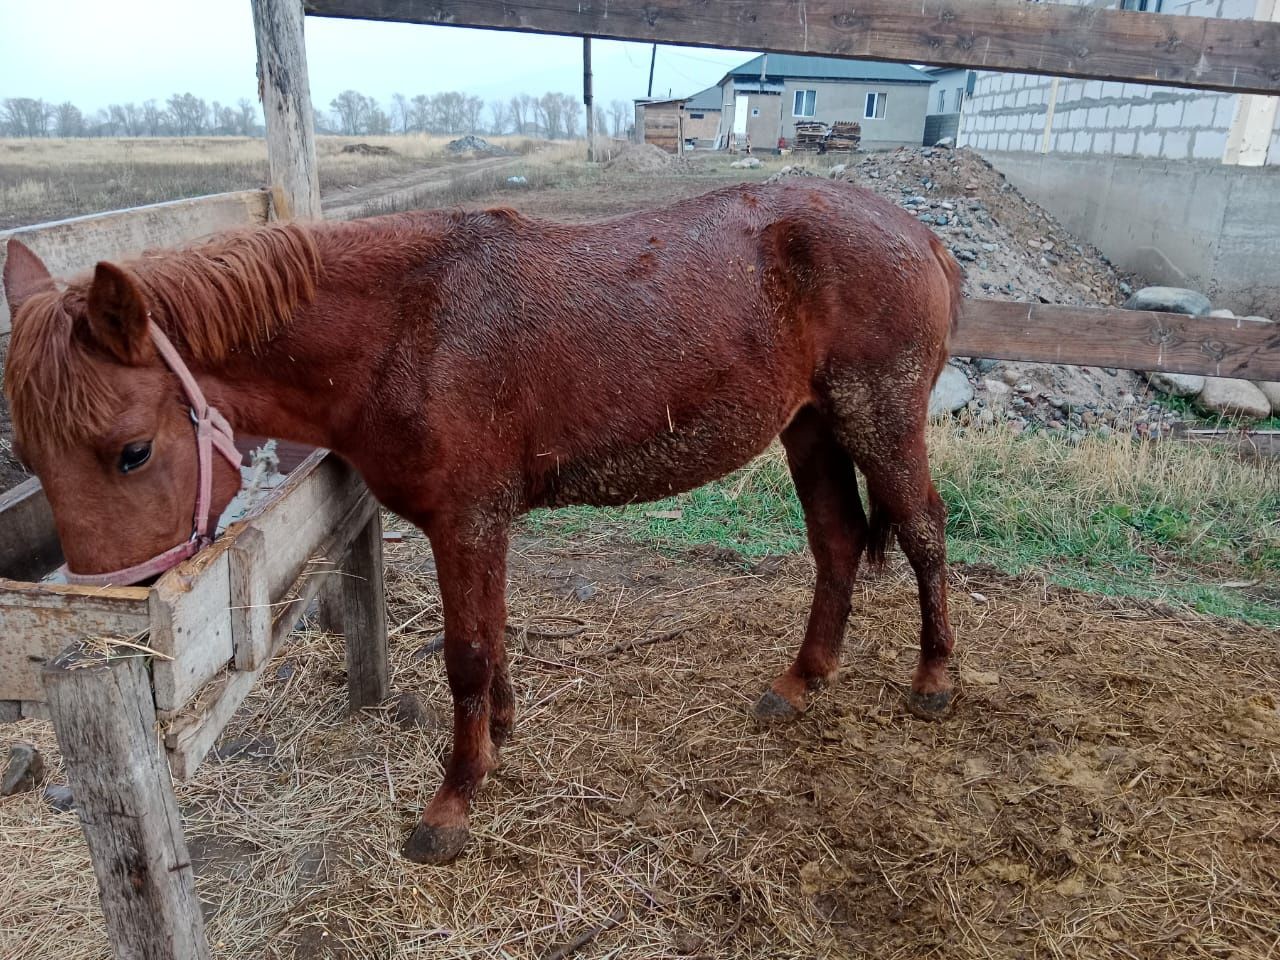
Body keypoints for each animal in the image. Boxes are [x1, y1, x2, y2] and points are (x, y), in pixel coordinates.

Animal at [2, 179, 962, 865]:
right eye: (30, 455)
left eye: (130, 452)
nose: (116, 619)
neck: (406, 328)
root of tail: (917, 234)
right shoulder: (482, 526)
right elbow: (492, 638)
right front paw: (499, 735)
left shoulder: (465, 522)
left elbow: (466, 653)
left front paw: (454, 800)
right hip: (811, 427)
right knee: (838, 544)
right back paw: (800, 681)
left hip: (878, 419)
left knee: (923, 533)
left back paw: (935, 678)